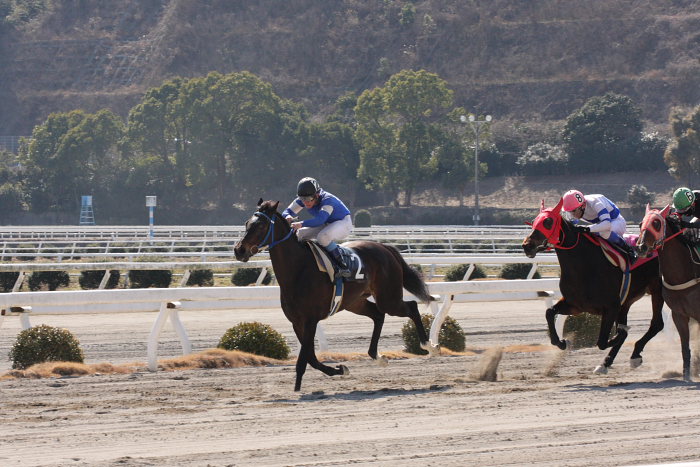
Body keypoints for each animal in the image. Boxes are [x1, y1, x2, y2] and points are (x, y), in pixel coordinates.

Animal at [232, 199, 434, 394]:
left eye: (260, 226)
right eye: (247, 223)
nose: (239, 250)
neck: (298, 270)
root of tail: (384, 247)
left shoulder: (311, 319)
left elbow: (304, 359)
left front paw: (297, 389)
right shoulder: (297, 321)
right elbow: (311, 357)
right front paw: (339, 370)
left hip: (388, 298)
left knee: (411, 307)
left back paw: (429, 345)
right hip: (355, 302)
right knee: (378, 315)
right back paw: (377, 356)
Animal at [524, 199, 664, 374]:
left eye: (548, 221)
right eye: (534, 221)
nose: (527, 245)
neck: (584, 266)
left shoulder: (611, 307)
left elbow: (604, 341)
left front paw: (619, 335)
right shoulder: (575, 305)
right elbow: (549, 312)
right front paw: (562, 342)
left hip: (657, 290)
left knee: (657, 324)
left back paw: (634, 355)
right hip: (626, 302)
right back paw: (606, 363)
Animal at [636, 205, 700, 380]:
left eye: (656, 223)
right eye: (640, 224)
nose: (641, 247)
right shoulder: (679, 314)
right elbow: (685, 348)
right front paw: (686, 376)